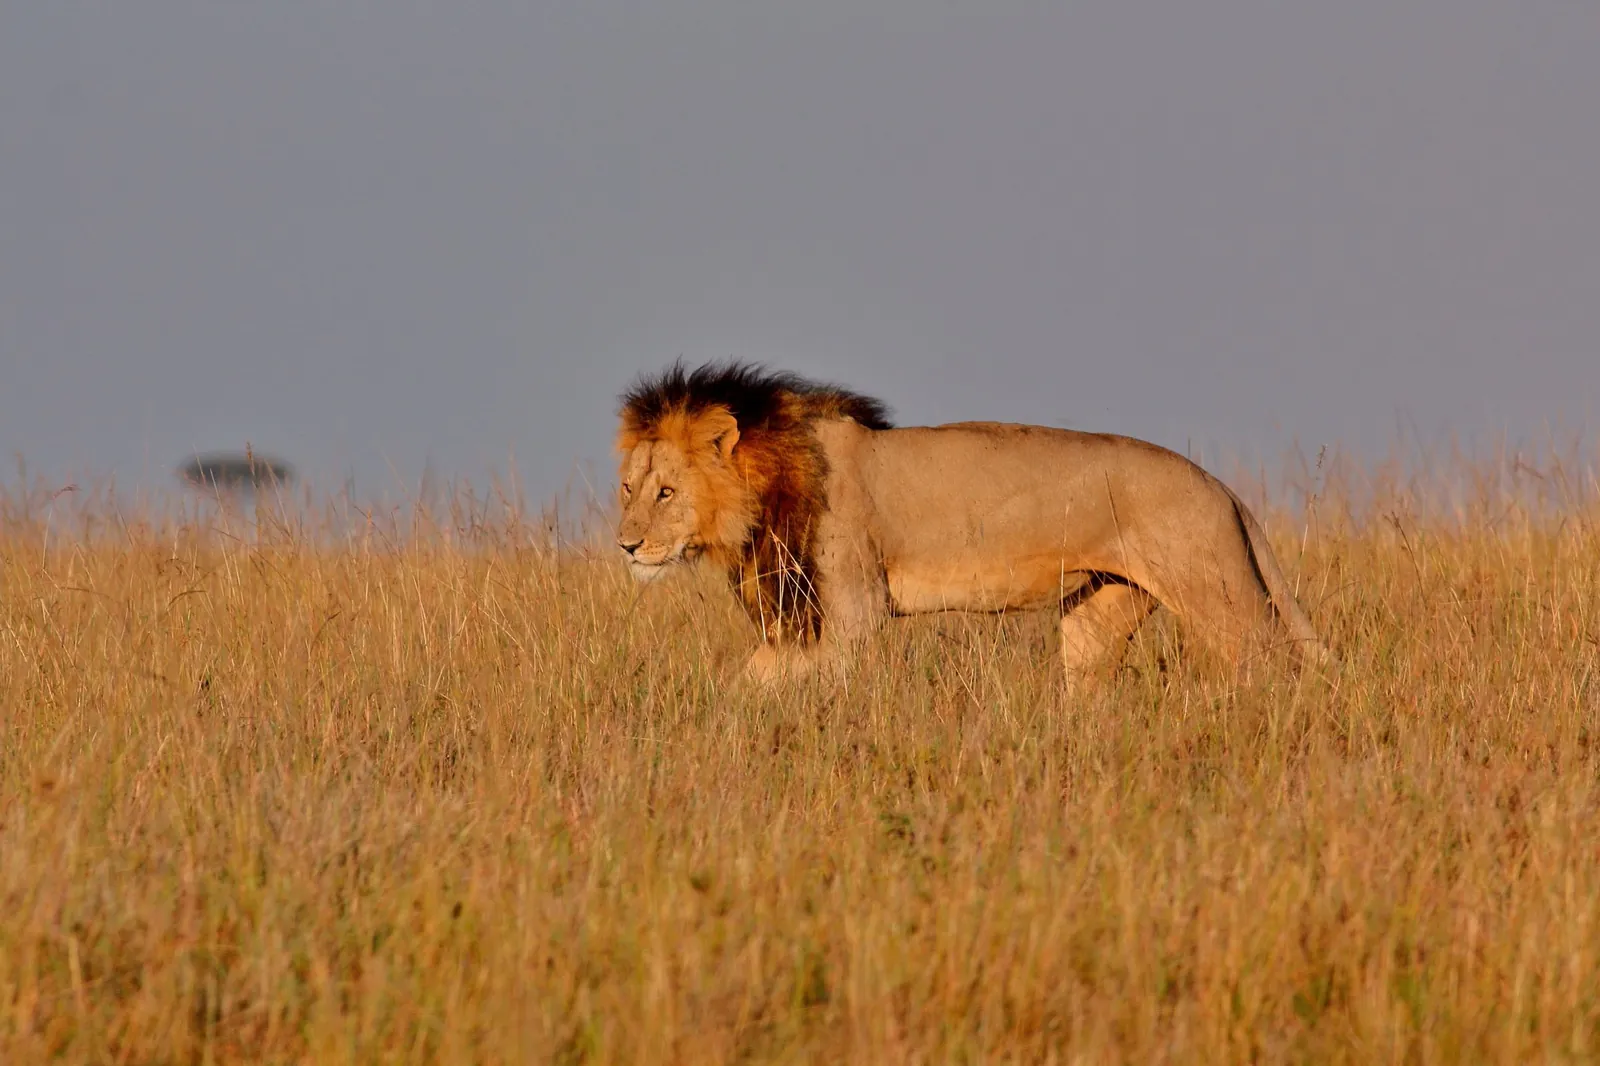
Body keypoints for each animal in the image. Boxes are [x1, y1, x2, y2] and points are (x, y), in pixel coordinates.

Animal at [615, 361, 1331, 689]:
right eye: (628, 488)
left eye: (666, 492)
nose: (626, 544)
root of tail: (1222, 487)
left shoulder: (852, 614)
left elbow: (757, 678)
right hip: (1100, 610)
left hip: (1219, 593)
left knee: (1275, 659)